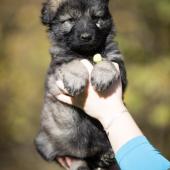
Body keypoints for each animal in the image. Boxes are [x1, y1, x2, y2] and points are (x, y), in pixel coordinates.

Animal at [35, 0, 127, 169]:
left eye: (96, 18)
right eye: (71, 20)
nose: (86, 37)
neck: (87, 53)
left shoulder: (120, 69)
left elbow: (107, 61)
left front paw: (102, 75)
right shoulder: (55, 76)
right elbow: (74, 62)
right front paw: (75, 79)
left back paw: (104, 157)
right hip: (43, 142)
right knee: (77, 159)